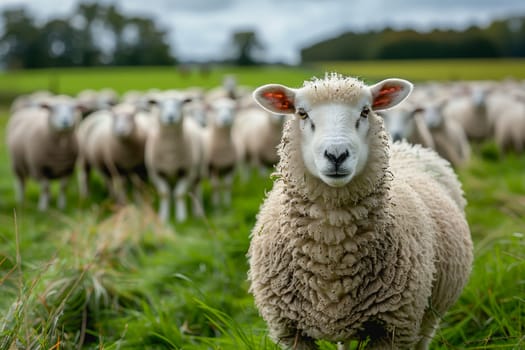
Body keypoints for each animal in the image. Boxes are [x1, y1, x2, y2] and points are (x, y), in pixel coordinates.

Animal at [145, 90, 207, 221]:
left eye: (181, 103)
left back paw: (198, 212)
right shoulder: (156, 173)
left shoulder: (187, 171)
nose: (171, 117)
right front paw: (163, 216)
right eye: (159, 104)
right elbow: (164, 194)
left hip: (198, 170)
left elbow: (179, 194)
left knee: (196, 189)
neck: (170, 153)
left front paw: (181, 218)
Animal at [248, 72, 472, 348]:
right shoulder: (289, 330)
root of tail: (407, 146)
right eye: (302, 113)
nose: (336, 154)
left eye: (365, 111)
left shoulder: (394, 328)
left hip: (430, 312)